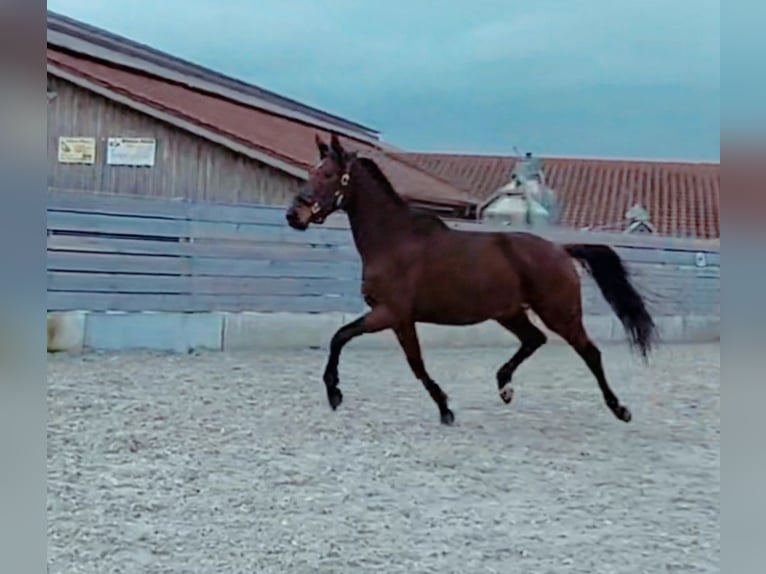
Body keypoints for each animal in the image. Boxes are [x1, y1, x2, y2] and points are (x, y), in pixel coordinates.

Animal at [284, 134, 656, 428]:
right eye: (311, 172)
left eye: (328, 174)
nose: (293, 215)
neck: (394, 241)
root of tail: (559, 250)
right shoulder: (399, 318)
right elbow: (401, 358)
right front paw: (444, 407)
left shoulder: (391, 313)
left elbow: (349, 339)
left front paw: (335, 393)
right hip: (509, 312)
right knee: (534, 339)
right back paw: (504, 387)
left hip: (559, 313)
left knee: (589, 352)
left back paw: (620, 409)